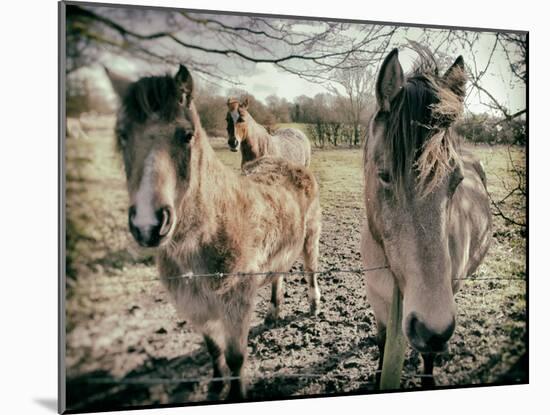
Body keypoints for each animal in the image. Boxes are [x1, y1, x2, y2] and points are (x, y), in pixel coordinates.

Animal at [106, 66, 324, 404]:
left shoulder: (235, 303)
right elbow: (213, 350)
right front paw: (214, 385)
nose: (148, 224)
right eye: (123, 134)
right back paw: (274, 312)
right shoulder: (195, 307)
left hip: (310, 237)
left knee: (311, 269)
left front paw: (235, 392)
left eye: (187, 135)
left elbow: (235, 356)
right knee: (277, 275)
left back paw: (314, 305)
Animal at [362, 48, 496, 390]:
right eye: (385, 175)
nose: (432, 328)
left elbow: (427, 357)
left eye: (456, 180)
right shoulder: (378, 303)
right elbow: (382, 343)